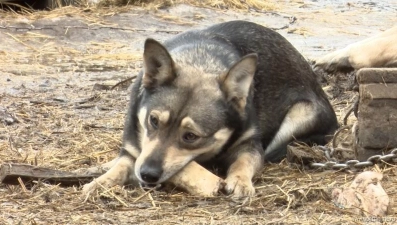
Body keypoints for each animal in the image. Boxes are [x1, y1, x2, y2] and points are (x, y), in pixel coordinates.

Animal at [83, 20, 338, 198]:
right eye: (153, 121)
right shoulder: (133, 150)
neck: (200, 61)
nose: (147, 174)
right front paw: (98, 182)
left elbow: (243, 162)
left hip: (301, 114)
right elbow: (121, 165)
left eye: (190, 136)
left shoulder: (250, 145)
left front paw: (240, 181)